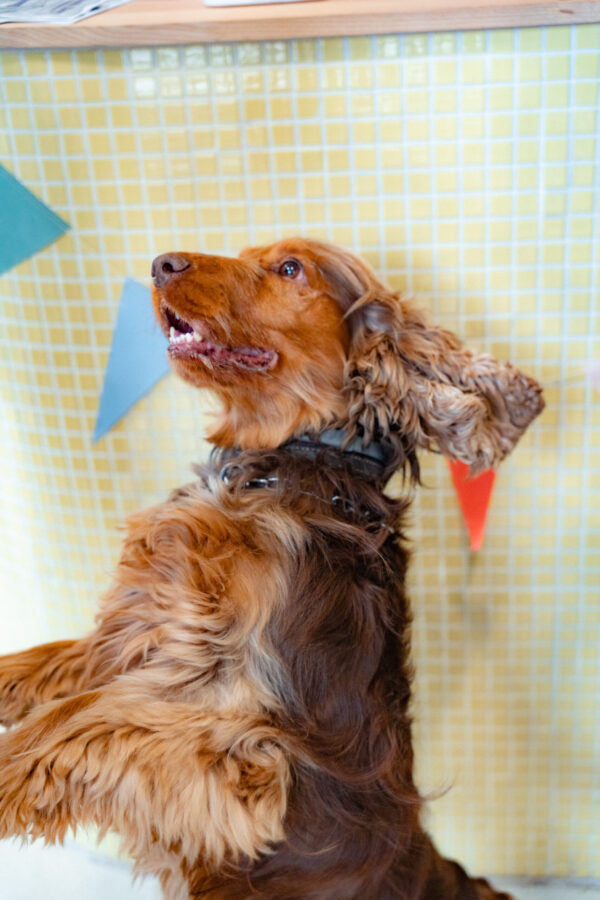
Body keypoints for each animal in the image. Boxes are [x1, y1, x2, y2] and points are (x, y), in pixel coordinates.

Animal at [0, 239, 543, 898]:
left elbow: (69, 723)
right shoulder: (146, 633)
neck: (285, 465)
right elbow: (54, 666)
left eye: (290, 269)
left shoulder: (241, 742)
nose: (160, 264)